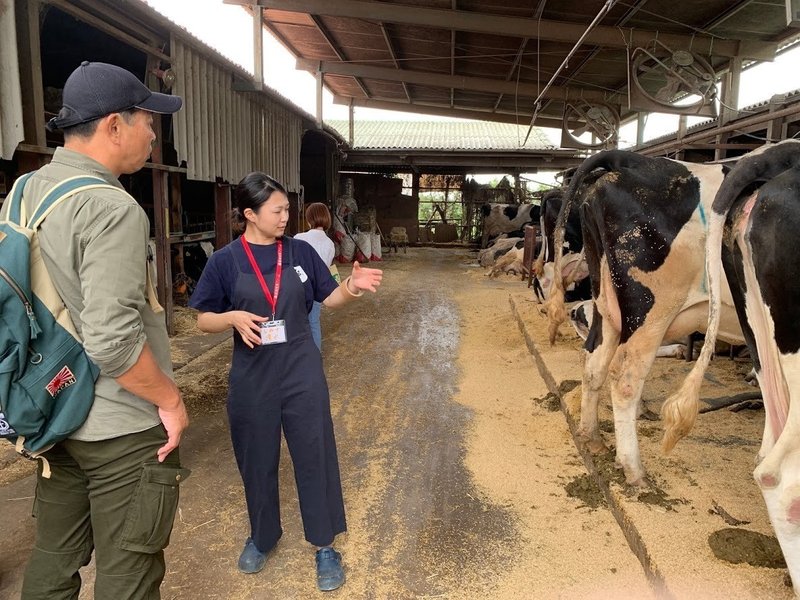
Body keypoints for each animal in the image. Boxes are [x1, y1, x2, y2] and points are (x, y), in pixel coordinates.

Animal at [544, 149, 744, 488]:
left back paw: (592, 439)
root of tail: (626, 158)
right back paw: (634, 471)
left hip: (606, 302)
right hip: (651, 310)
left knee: (594, 361)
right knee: (625, 377)